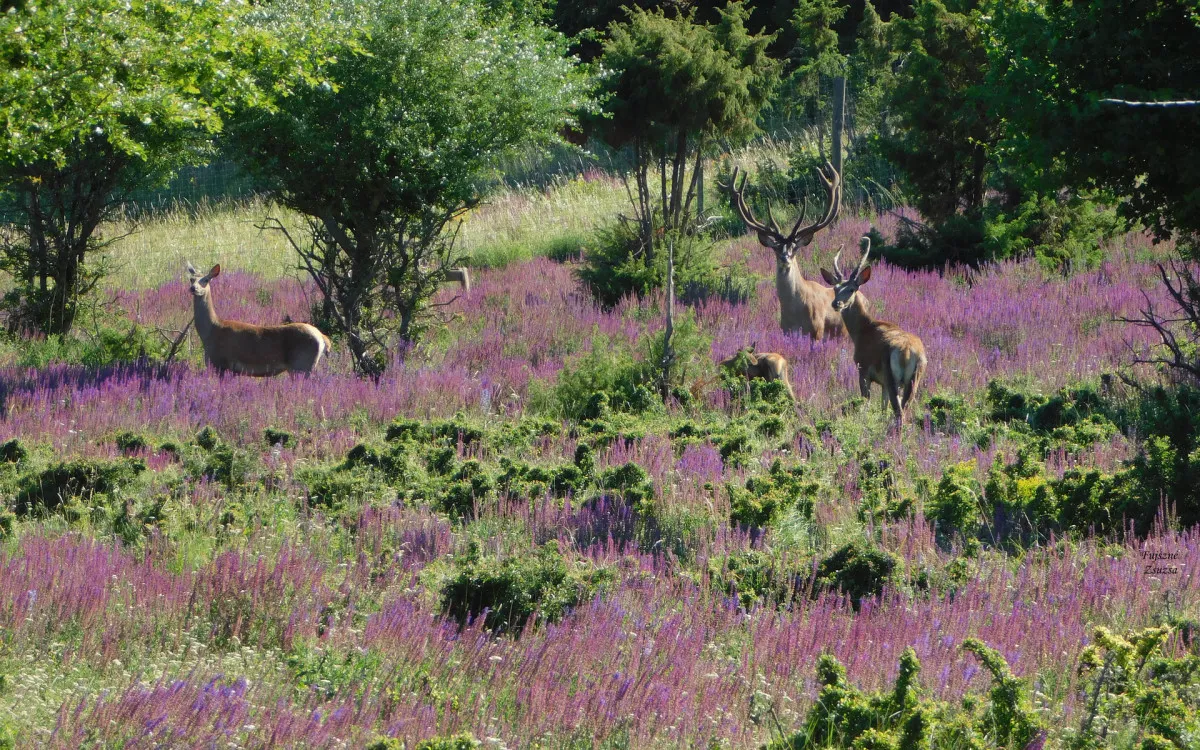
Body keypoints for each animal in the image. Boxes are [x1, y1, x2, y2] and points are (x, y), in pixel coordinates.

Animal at [186, 262, 333, 376]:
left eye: (206, 280)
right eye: (191, 279)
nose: (193, 288)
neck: (210, 332)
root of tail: (322, 338)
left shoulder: (221, 363)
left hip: (302, 365)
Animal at [720, 163, 864, 338]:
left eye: (794, 249)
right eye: (775, 249)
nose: (785, 257)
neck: (795, 314)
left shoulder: (817, 331)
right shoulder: (785, 330)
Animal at [816, 236, 926, 424]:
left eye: (852, 289)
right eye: (835, 288)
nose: (836, 303)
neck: (862, 331)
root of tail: (906, 352)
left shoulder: (863, 369)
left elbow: (865, 403)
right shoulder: (882, 383)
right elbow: (883, 408)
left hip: (891, 374)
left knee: (899, 412)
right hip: (914, 379)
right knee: (903, 409)